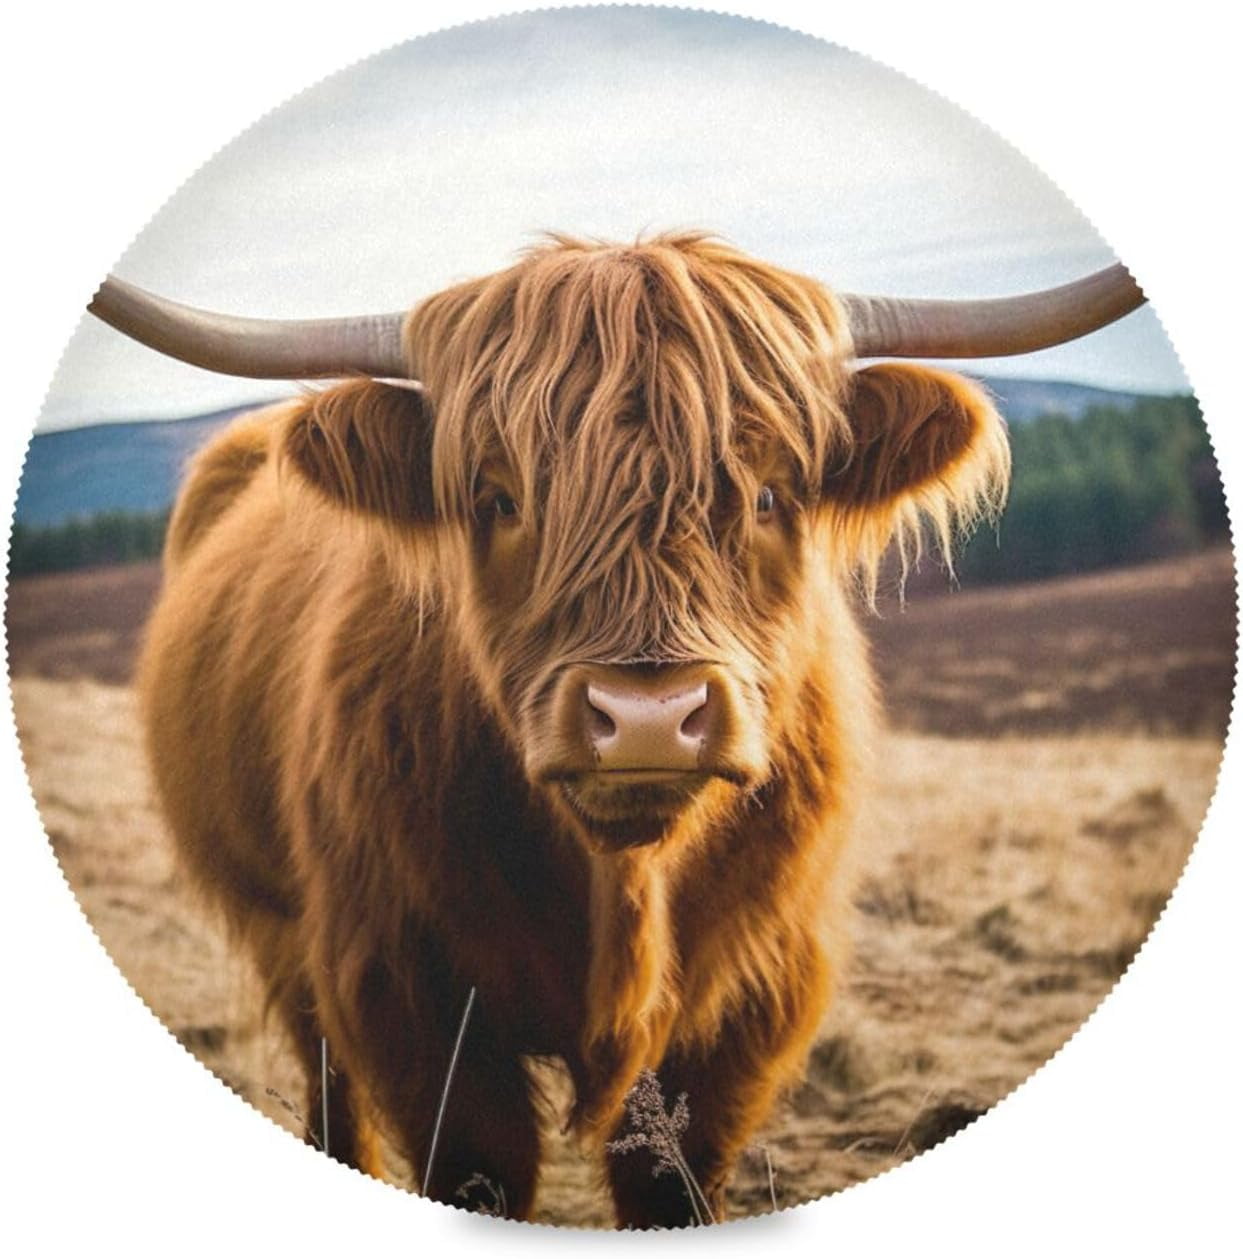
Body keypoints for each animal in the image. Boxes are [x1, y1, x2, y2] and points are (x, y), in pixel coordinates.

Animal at [89, 233, 1143, 1226]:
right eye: (499, 497)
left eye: (769, 493)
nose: (645, 718)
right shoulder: (400, 981)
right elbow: (479, 1162)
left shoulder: (756, 993)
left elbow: (670, 1175)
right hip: (281, 929)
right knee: (328, 1082)